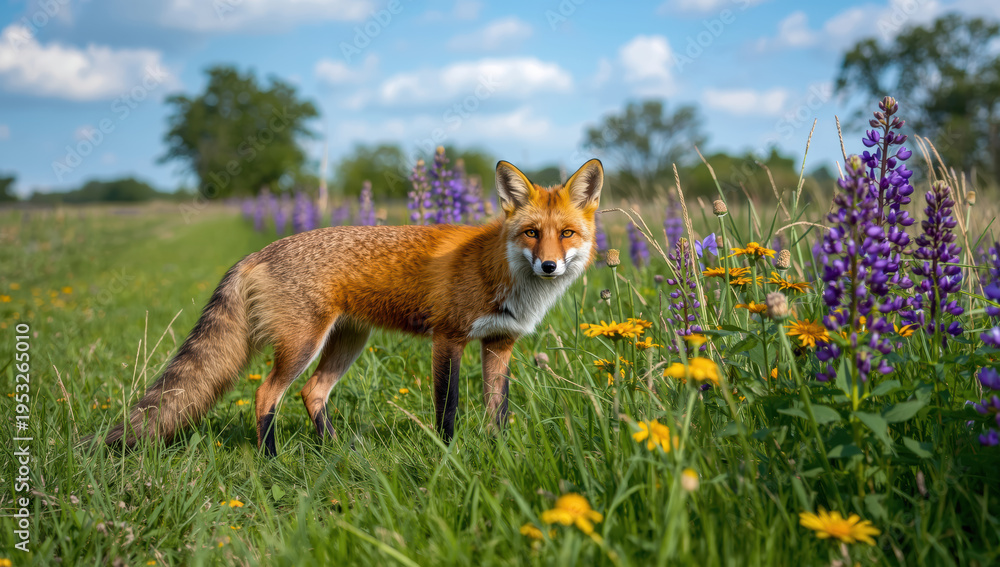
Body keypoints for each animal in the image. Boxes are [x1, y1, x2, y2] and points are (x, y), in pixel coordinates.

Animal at [98, 159, 604, 456]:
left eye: (567, 234)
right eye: (532, 233)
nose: (549, 266)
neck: (498, 270)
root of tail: (258, 252)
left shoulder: (500, 343)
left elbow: (496, 410)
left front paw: (495, 455)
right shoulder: (449, 338)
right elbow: (448, 407)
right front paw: (447, 457)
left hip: (348, 342)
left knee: (312, 393)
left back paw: (334, 452)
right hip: (304, 344)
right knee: (266, 394)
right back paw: (271, 461)